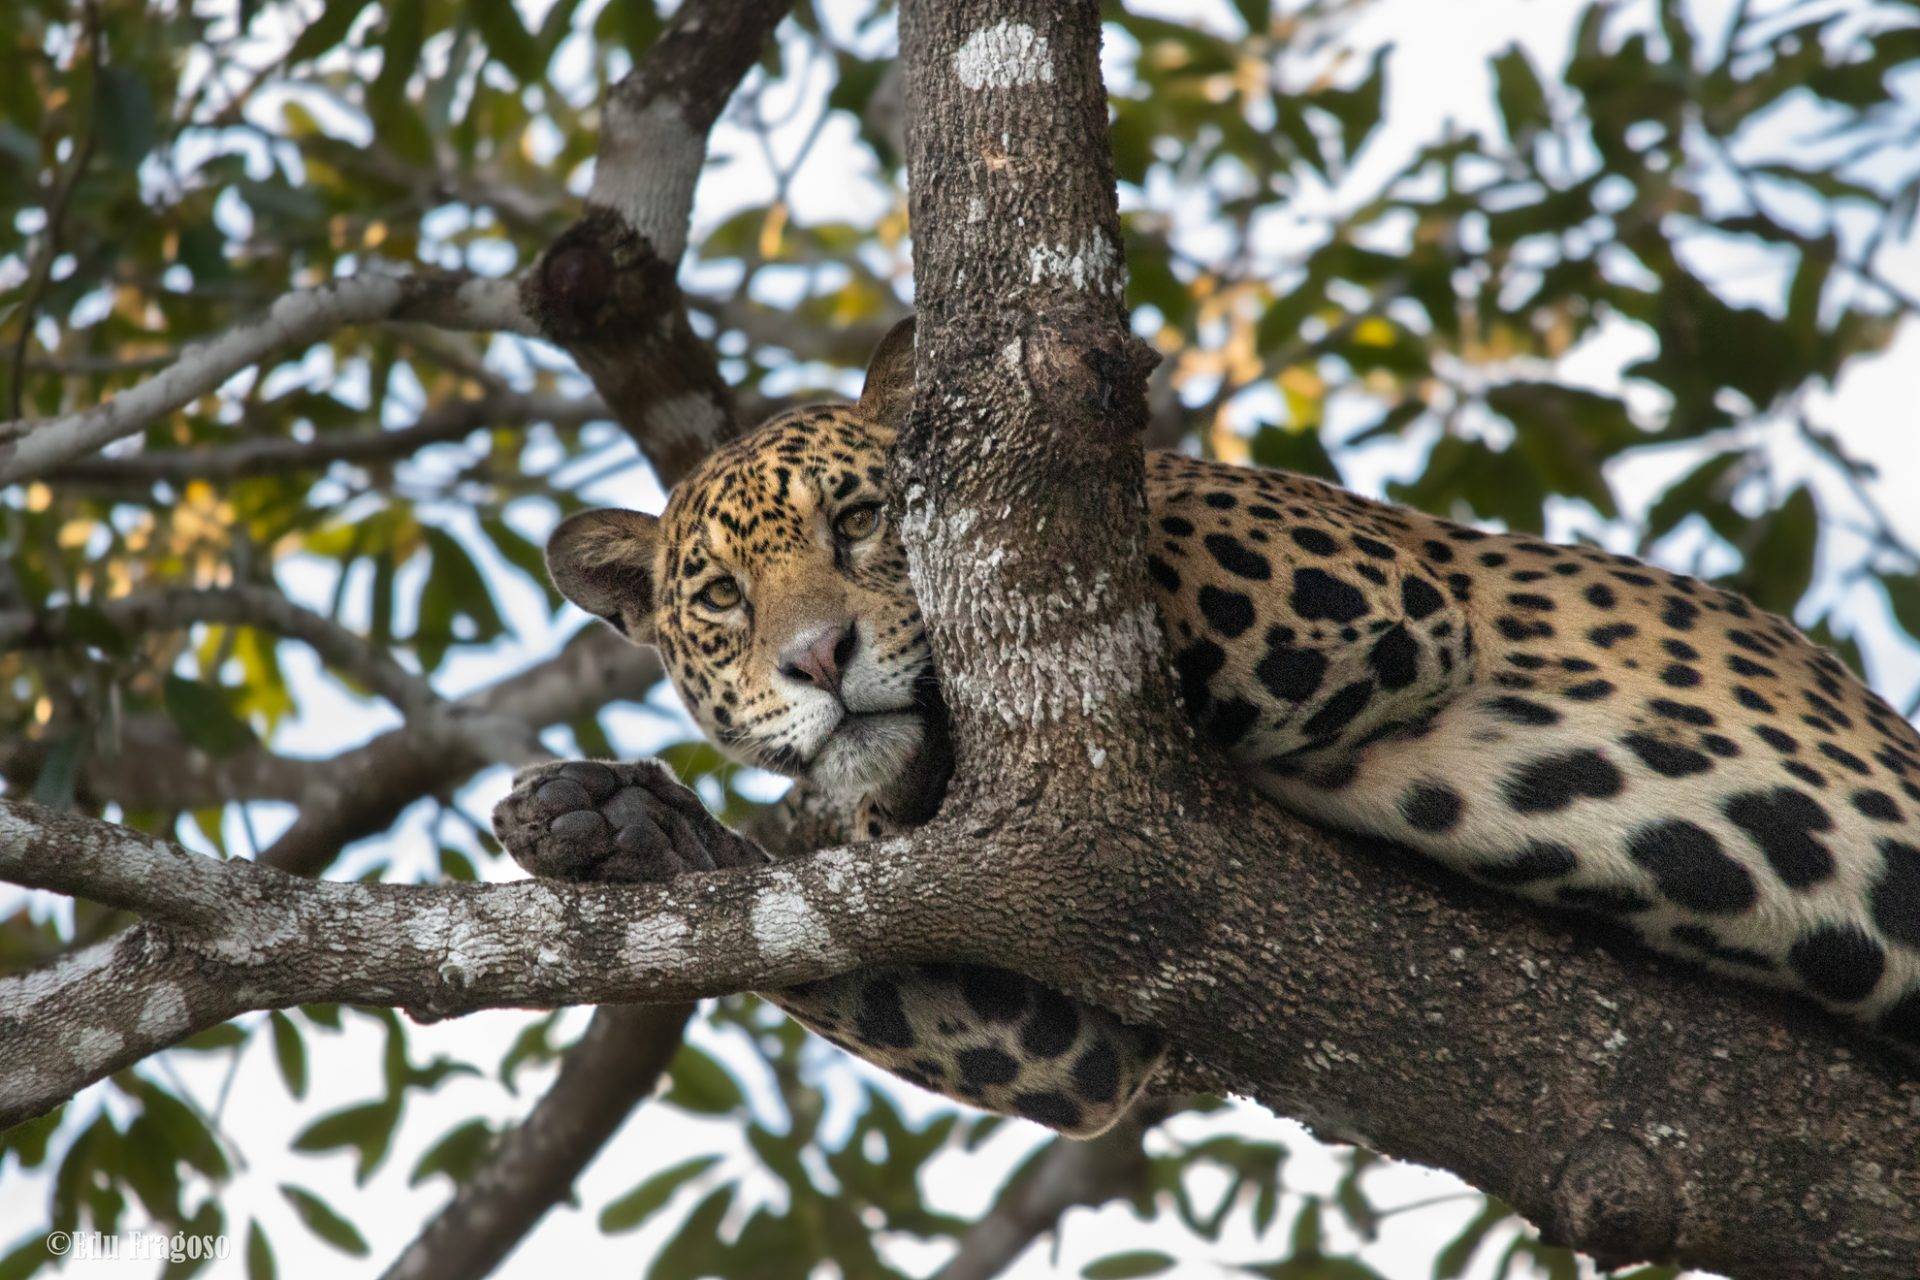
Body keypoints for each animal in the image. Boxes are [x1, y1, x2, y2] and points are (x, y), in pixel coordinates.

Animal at [494, 318, 1920, 1137]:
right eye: (722, 601)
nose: (817, 657)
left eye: (861, 520)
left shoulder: (1355, 585)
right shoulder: (1084, 1001)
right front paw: (612, 823)